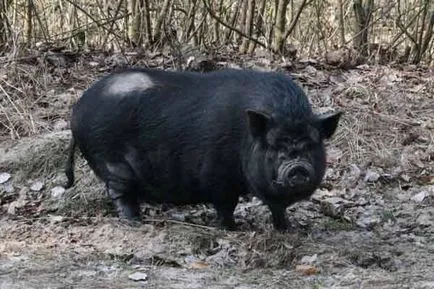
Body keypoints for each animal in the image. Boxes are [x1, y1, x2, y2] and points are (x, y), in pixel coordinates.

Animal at [65, 67, 342, 230]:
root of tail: (77, 110)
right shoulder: (218, 176)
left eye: (312, 143)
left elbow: (278, 209)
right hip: (112, 161)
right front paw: (232, 228)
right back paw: (135, 221)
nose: (297, 168)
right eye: (274, 145)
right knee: (119, 193)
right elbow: (226, 205)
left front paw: (288, 228)